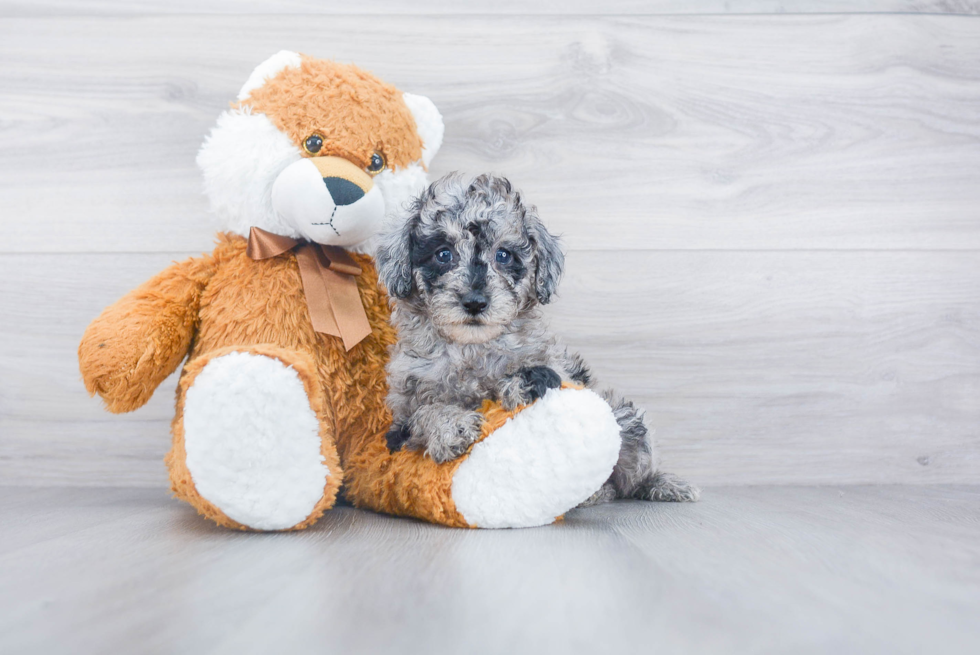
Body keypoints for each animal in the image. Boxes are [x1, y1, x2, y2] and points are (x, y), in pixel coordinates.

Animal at [374, 172, 696, 504]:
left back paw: (658, 485)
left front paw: (521, 385)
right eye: (443, 254)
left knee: (631, 476)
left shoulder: (558, 368)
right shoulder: (402, 412)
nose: (475, 302)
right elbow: (424, 413)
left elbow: (536, 374)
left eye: (504, 255)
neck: (472, 349)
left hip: (628, 422)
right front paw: (452, 427)